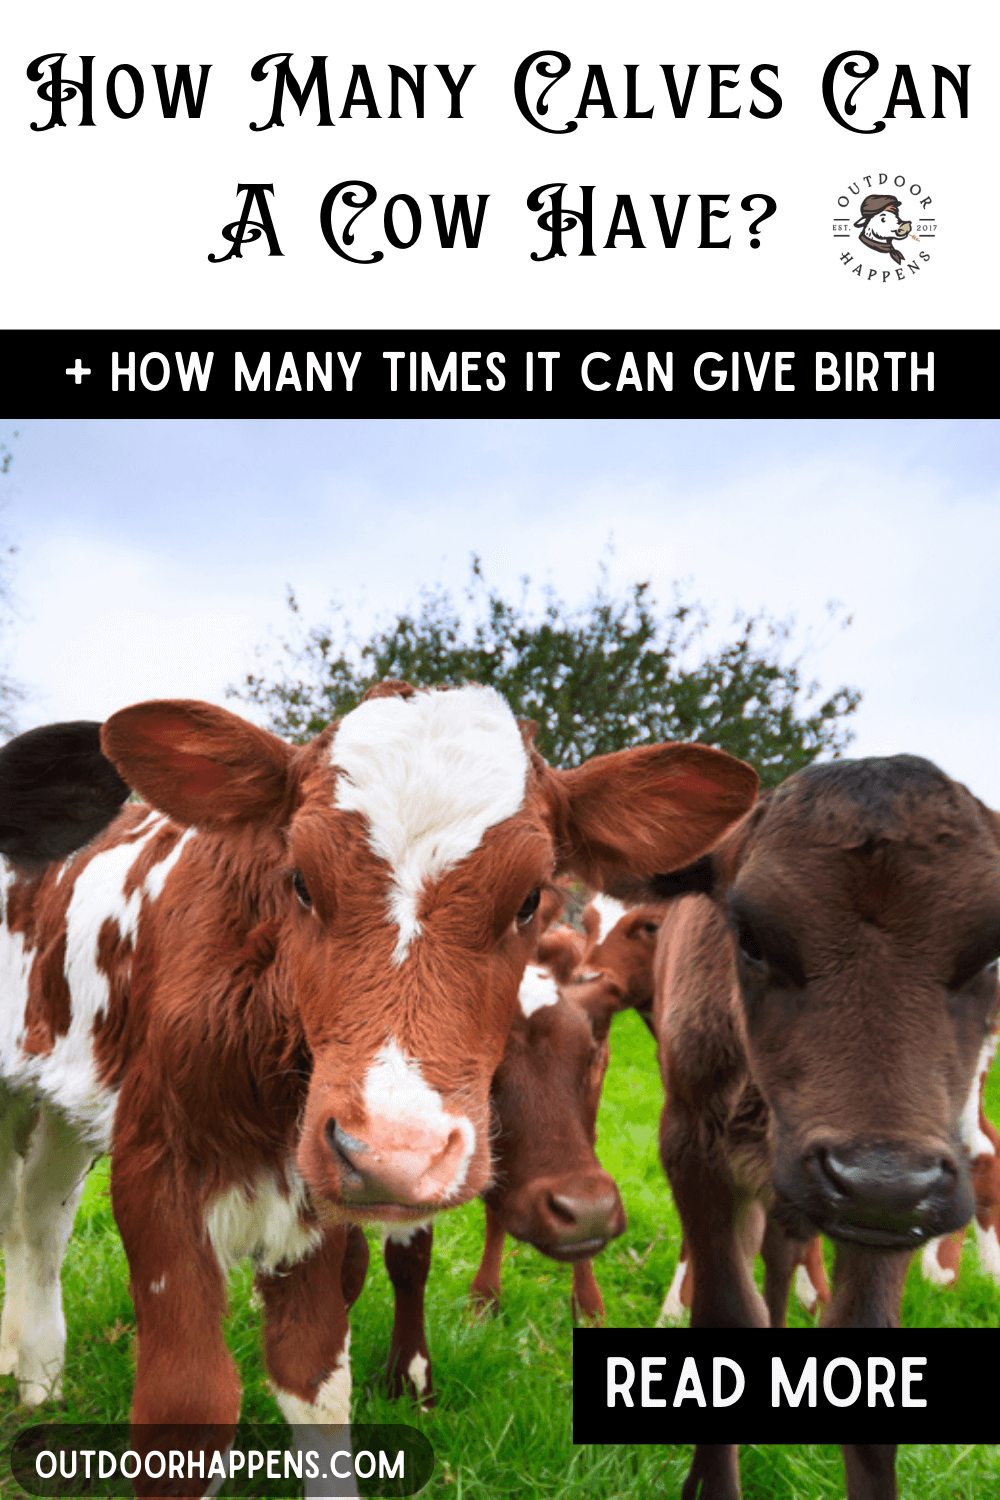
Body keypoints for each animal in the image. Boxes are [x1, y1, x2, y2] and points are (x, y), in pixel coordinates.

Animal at [0, 686, 757, 1486]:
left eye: (529, 898)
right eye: (299, 880)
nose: (394, 1154)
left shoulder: (311, 1195)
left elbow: (315, 1379)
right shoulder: (158, 1175)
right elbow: (187, 1405)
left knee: (41, 1215)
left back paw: (38, 1372)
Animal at [648, 753, 999, 1500]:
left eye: (991, 954)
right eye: (749, 937)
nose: (879, 1181)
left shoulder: (903, 1198)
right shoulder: (693, 1152)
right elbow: (725, 1313)